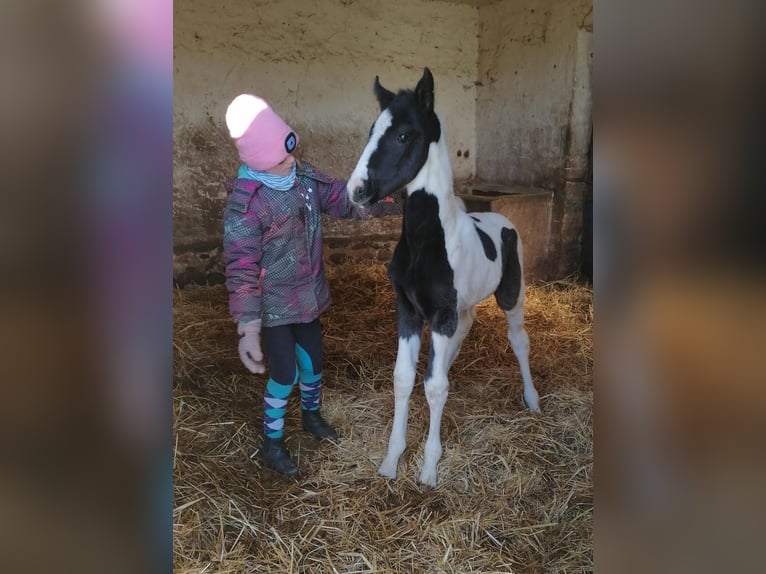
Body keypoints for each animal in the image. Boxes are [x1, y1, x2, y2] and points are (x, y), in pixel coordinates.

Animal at [348, 70, 540, 488]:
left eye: (404, 135)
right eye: (372, 130)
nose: (356, 191)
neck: (429, 240)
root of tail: (502, 220)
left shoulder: (440, 314)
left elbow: (434, 387)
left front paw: (429, 470)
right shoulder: (409, 310)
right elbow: (404, 378)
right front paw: (391, 461)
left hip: (511, 295)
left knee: (519, 341)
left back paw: (533, 399)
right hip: (460, 308)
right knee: (463, 333)